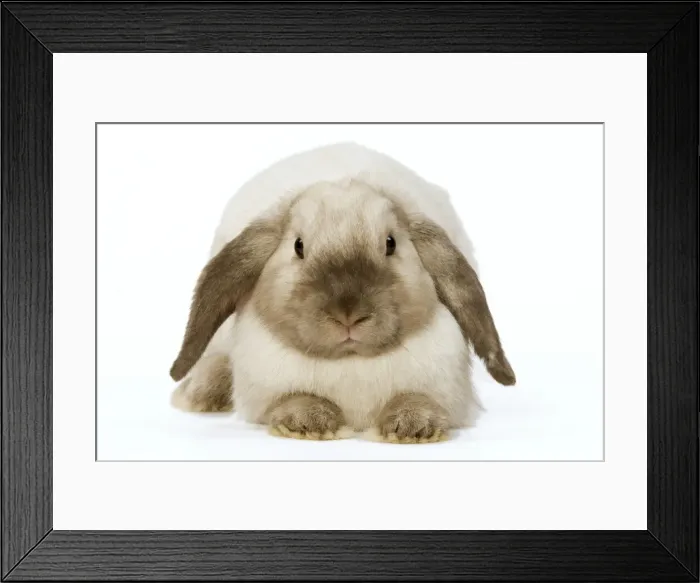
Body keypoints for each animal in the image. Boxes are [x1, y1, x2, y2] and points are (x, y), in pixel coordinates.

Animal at [169, 142, 515, 443]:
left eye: (390, 243)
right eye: (298, 246)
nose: (348, 314)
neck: (351, 365)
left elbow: (417, 398)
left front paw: (413, 427)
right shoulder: (266, 391)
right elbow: (294, 398)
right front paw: (308, 422)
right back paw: (200, 395)